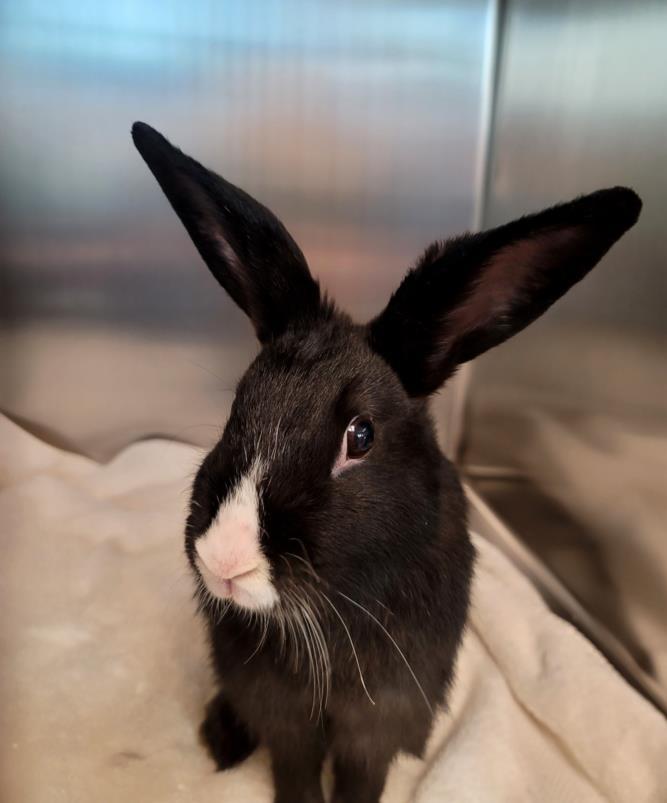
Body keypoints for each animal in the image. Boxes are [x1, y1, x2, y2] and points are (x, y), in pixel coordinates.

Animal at [132, 120, 641, 803]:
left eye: (362, 436)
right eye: (240, 400)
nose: (224, 561)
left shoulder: (383, 713)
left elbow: (362, 774)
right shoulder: (281, 710)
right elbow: (294, 768)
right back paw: (222, 740)